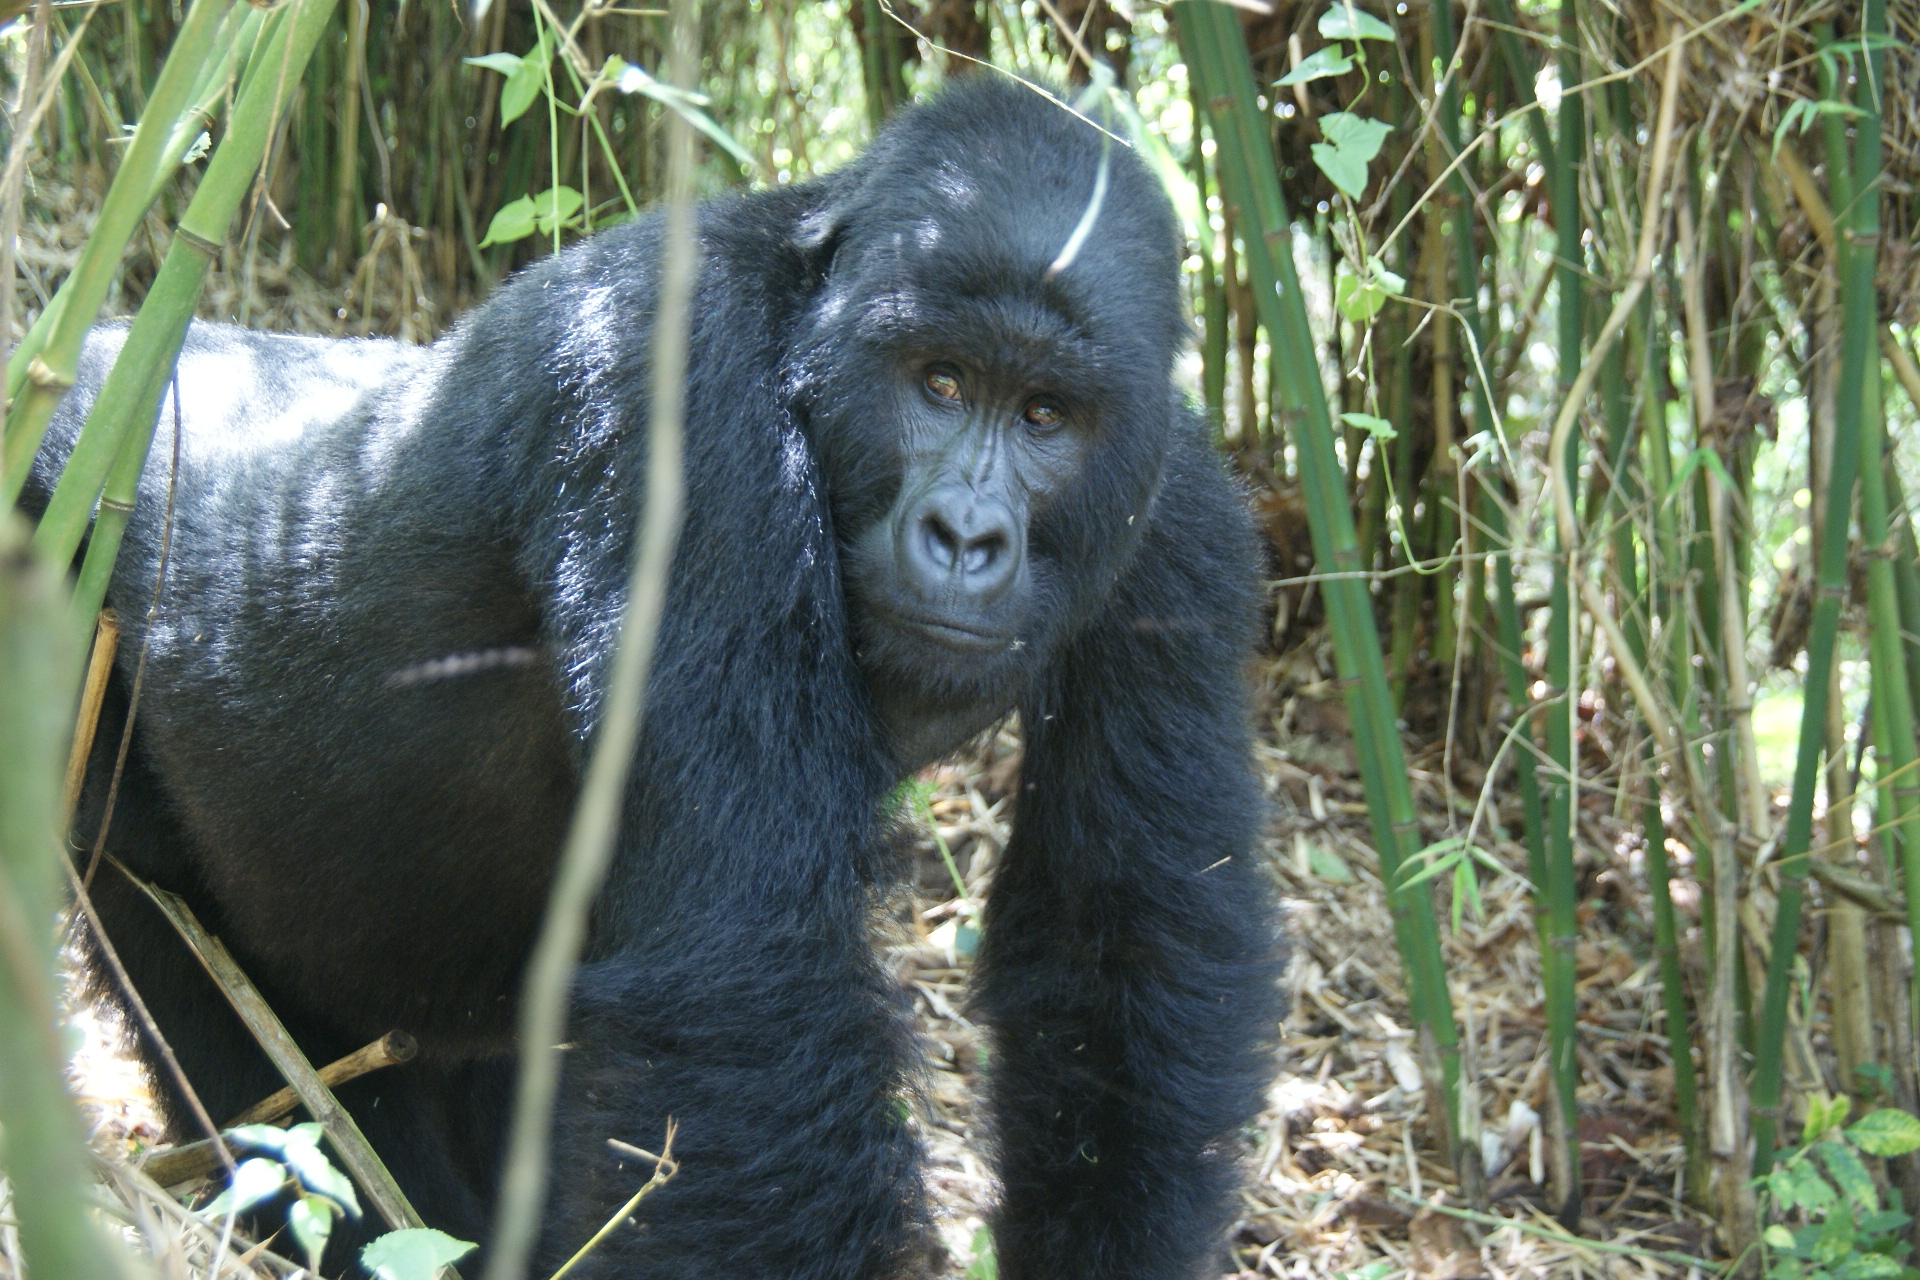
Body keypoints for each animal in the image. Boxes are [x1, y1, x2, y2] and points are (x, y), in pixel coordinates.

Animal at [30, 77, 1282, 1280]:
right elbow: (749, 990)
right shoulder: (683, 409)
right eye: (938, 381)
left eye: (1044, 414)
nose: (966, 534)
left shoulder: (1179, 507)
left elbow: (1121, 938)